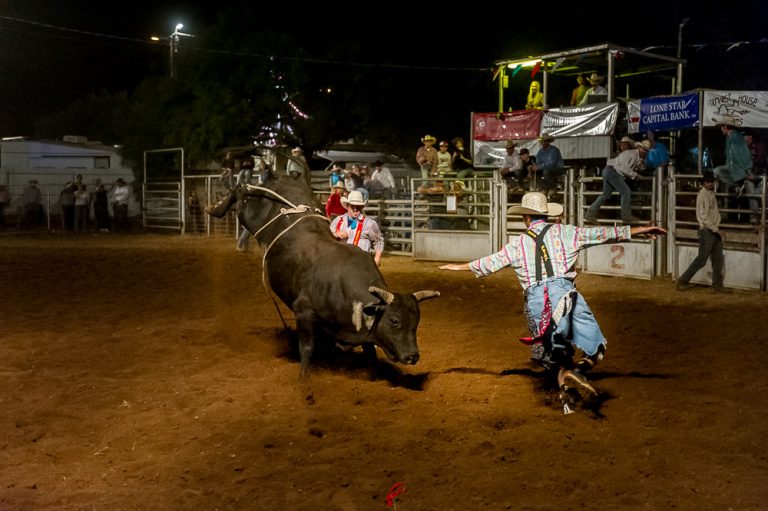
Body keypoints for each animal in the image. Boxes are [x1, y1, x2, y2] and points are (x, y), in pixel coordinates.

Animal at [207, 170, 440, 382]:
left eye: (416, 321)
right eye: (394, 321)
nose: (412, 356)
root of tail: (288, 178)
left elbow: (370, 352)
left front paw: (373, 376)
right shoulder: (304, 313)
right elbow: (307, 349)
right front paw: (304, 378)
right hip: (251, 211)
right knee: (241, 192)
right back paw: (216, 207)